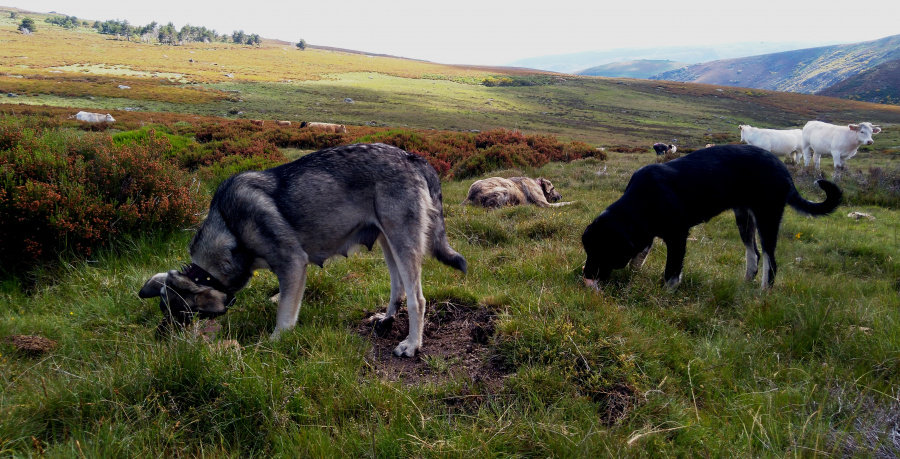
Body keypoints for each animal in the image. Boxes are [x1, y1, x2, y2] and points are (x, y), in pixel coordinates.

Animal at [139, 142, 472, 358]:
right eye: (163, 309)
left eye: (179, 313)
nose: (157, 338)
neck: (229, 228)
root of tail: (412, 157)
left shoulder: (293, 264)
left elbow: (284, 316)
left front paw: (272, 343)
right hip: (387, 241)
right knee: (398, 287)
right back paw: (386, 319)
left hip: (403, 242)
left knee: (417, 299)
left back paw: (412, 344)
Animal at [584, 145, 844, 288]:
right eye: (588, 250)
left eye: (602, 251)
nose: (586, 276)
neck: (644, 199)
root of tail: (785, 170)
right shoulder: (647, 232)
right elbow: (638, 258)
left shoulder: (678, 236)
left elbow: (672, 272)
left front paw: (665, 296)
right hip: (744, 218)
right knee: (754, 254)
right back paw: (745, 285)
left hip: (767, 215)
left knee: (770, 261)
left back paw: (762, 294)